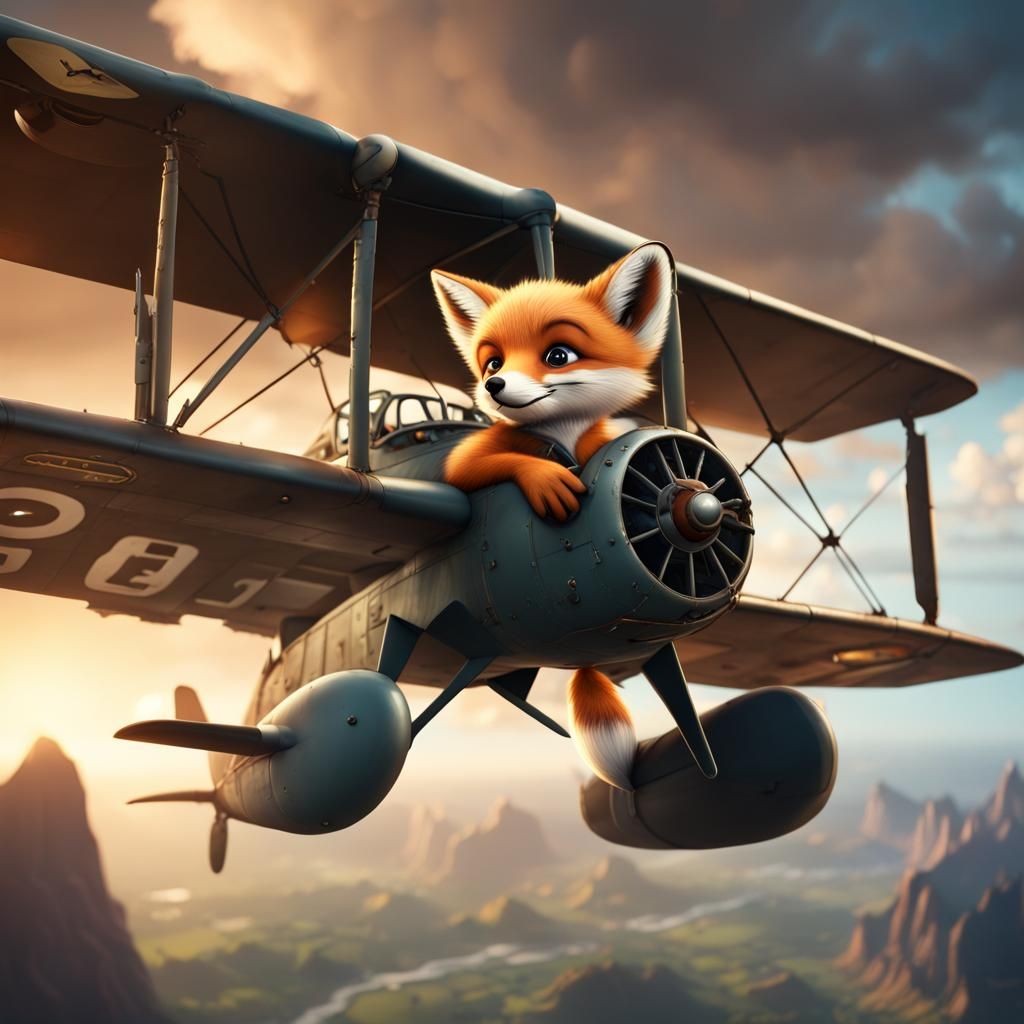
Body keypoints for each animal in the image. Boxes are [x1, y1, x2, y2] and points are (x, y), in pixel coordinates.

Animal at [430, 241, 676, 791]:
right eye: (491, 361)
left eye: (558, 355)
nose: (495, 384)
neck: (560, 434)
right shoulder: (467, 461)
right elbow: (469, 466)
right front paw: (549, 482)